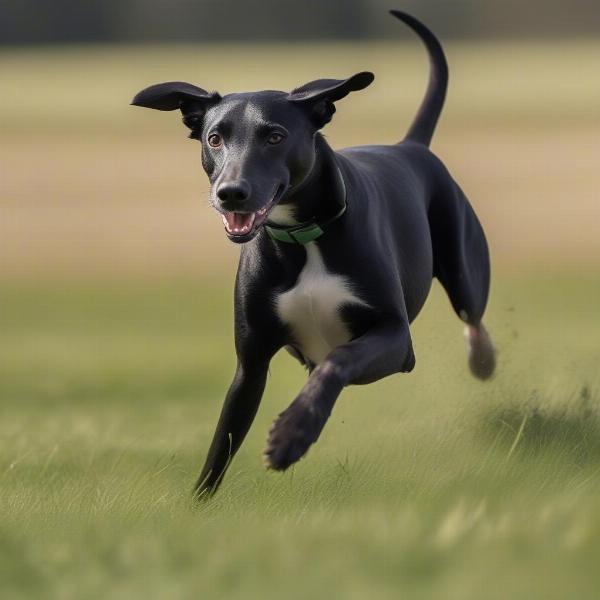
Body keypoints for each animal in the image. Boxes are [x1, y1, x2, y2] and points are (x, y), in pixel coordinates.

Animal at [132, 10, 496, 496]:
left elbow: (338, 361)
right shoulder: (251, 363)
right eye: (214, 138)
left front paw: (291, 435)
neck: (303, 237)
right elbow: (221, 443)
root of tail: (409, 145)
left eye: (275, 136)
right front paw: (196, 503)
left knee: (473, 314)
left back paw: (482, 358)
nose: (230, 193)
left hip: (463, 265)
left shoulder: (397, 342)